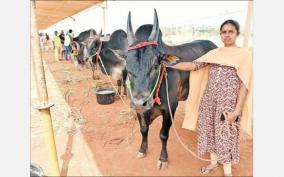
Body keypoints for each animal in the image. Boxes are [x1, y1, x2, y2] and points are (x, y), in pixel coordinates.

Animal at [124, 9, 217, 169]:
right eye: (128, 69)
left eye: (155, 66)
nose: (140, 102)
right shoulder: (139, 110)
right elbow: (143, 130)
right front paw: (142, 150)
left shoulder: (170, 108)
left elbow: (163, 135)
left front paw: (163, 159)